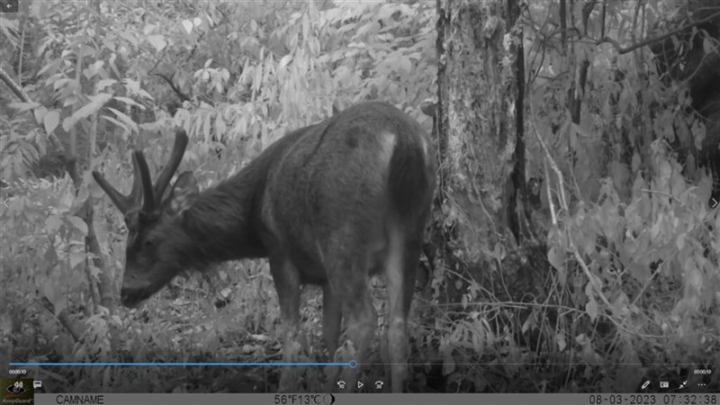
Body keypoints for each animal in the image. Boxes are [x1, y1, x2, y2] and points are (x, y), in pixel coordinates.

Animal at [92, 101, 436, 393]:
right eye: (127, 243)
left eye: (149, 240)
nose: (126, 292)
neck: (253, 215)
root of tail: (403, 140)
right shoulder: (323, 277)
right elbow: (328, 336)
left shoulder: (280, 252)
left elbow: (292, 336)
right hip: (410, 233)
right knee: (397, 328)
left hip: (342, 236)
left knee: (365, 321)